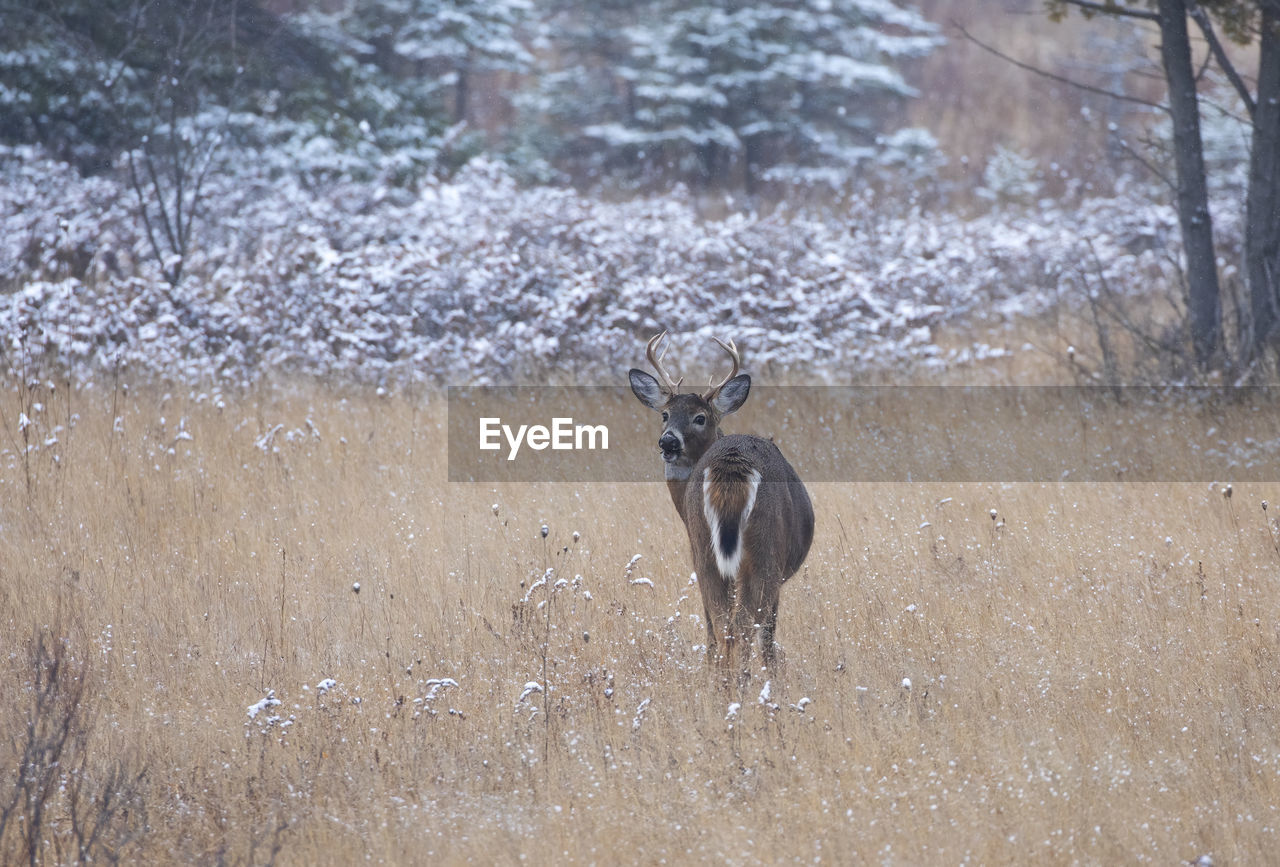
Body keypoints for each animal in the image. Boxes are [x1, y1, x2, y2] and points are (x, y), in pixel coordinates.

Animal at [627, 327, 814, 671]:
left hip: (704, 551)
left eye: (700, 418)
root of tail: (730, 466)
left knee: (721, 621)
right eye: (664, 414)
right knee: (742, 623)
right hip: (765, 551)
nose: (668, 442)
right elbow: (766, 634)